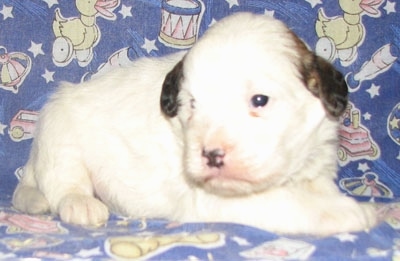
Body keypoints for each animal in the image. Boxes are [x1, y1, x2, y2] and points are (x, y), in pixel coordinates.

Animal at [12, 12, 376, 236]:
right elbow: (289, 203)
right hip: (61, 138)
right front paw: (346, 212)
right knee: (64, 183)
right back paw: (81, 204)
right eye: (192, 105)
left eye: (259, 100)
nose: (211, 155)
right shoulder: (220, 199)